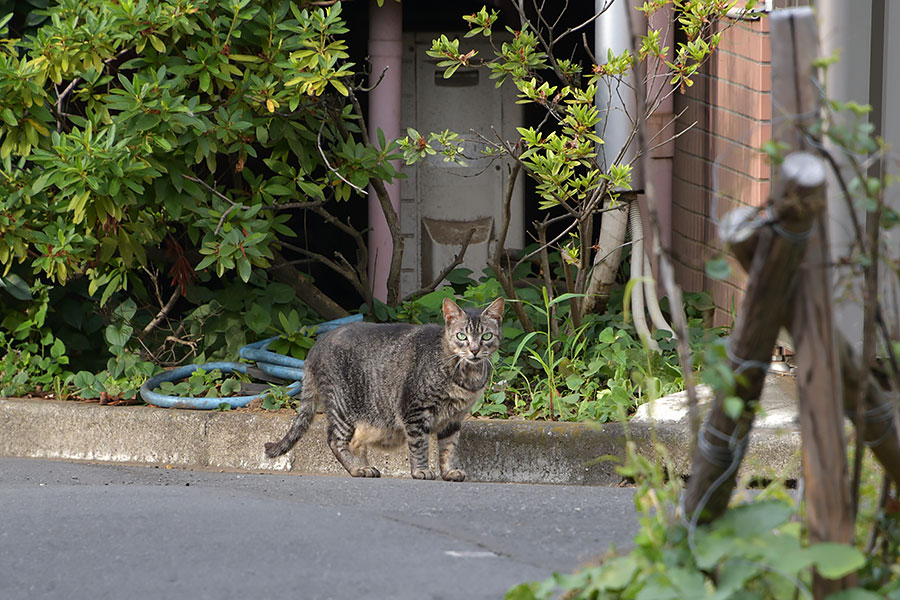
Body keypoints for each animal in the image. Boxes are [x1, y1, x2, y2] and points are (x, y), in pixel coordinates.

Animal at [266, 296, 506, 482]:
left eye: (486, 336)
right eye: (462, 336)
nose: (474, 350)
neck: (467, 376)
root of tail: (316, 345)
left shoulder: (454, 419)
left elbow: (448, 449)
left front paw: (448, 472)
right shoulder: (414, 409)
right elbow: (419, 445)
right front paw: (421, 470)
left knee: (355, 443)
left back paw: (365, 467)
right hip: (342, 406)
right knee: (335, 440)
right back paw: (357, 468)